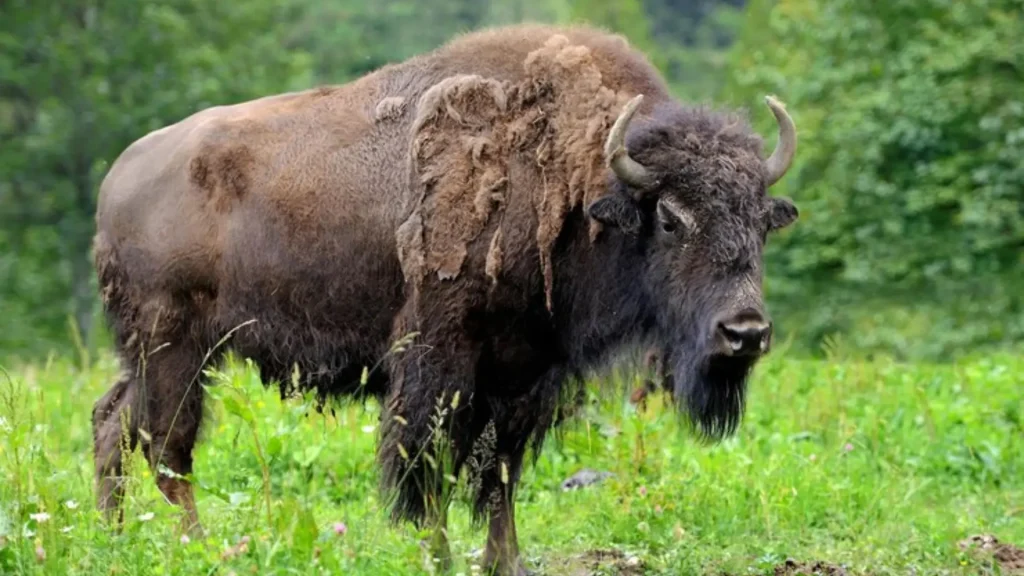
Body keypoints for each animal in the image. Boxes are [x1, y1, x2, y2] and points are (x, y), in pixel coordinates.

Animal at [91, 24, 798, 575]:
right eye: (672, 219)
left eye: (762, 220)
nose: (745, 333)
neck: (575, 184)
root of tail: (118, 175)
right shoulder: (441, 363)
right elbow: (426, 468)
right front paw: (438, 557)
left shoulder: (524, 373)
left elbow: (500, 474)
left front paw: (506, 561)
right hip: (177, 347)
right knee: (167, 449)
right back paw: (202, 550)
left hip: (159, 355)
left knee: (113, 423)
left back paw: (113, 539)